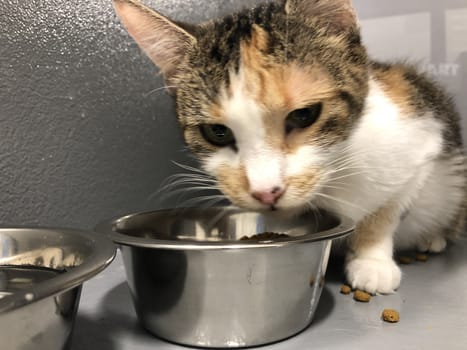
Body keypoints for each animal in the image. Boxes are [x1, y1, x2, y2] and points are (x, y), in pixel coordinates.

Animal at [111, 0, 466, 294]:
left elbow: (387, 211)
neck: (332, 178)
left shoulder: (421, 137)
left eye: (304, 114)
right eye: (217, 132)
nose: (266, 192)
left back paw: (434, 237)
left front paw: (371, 260)